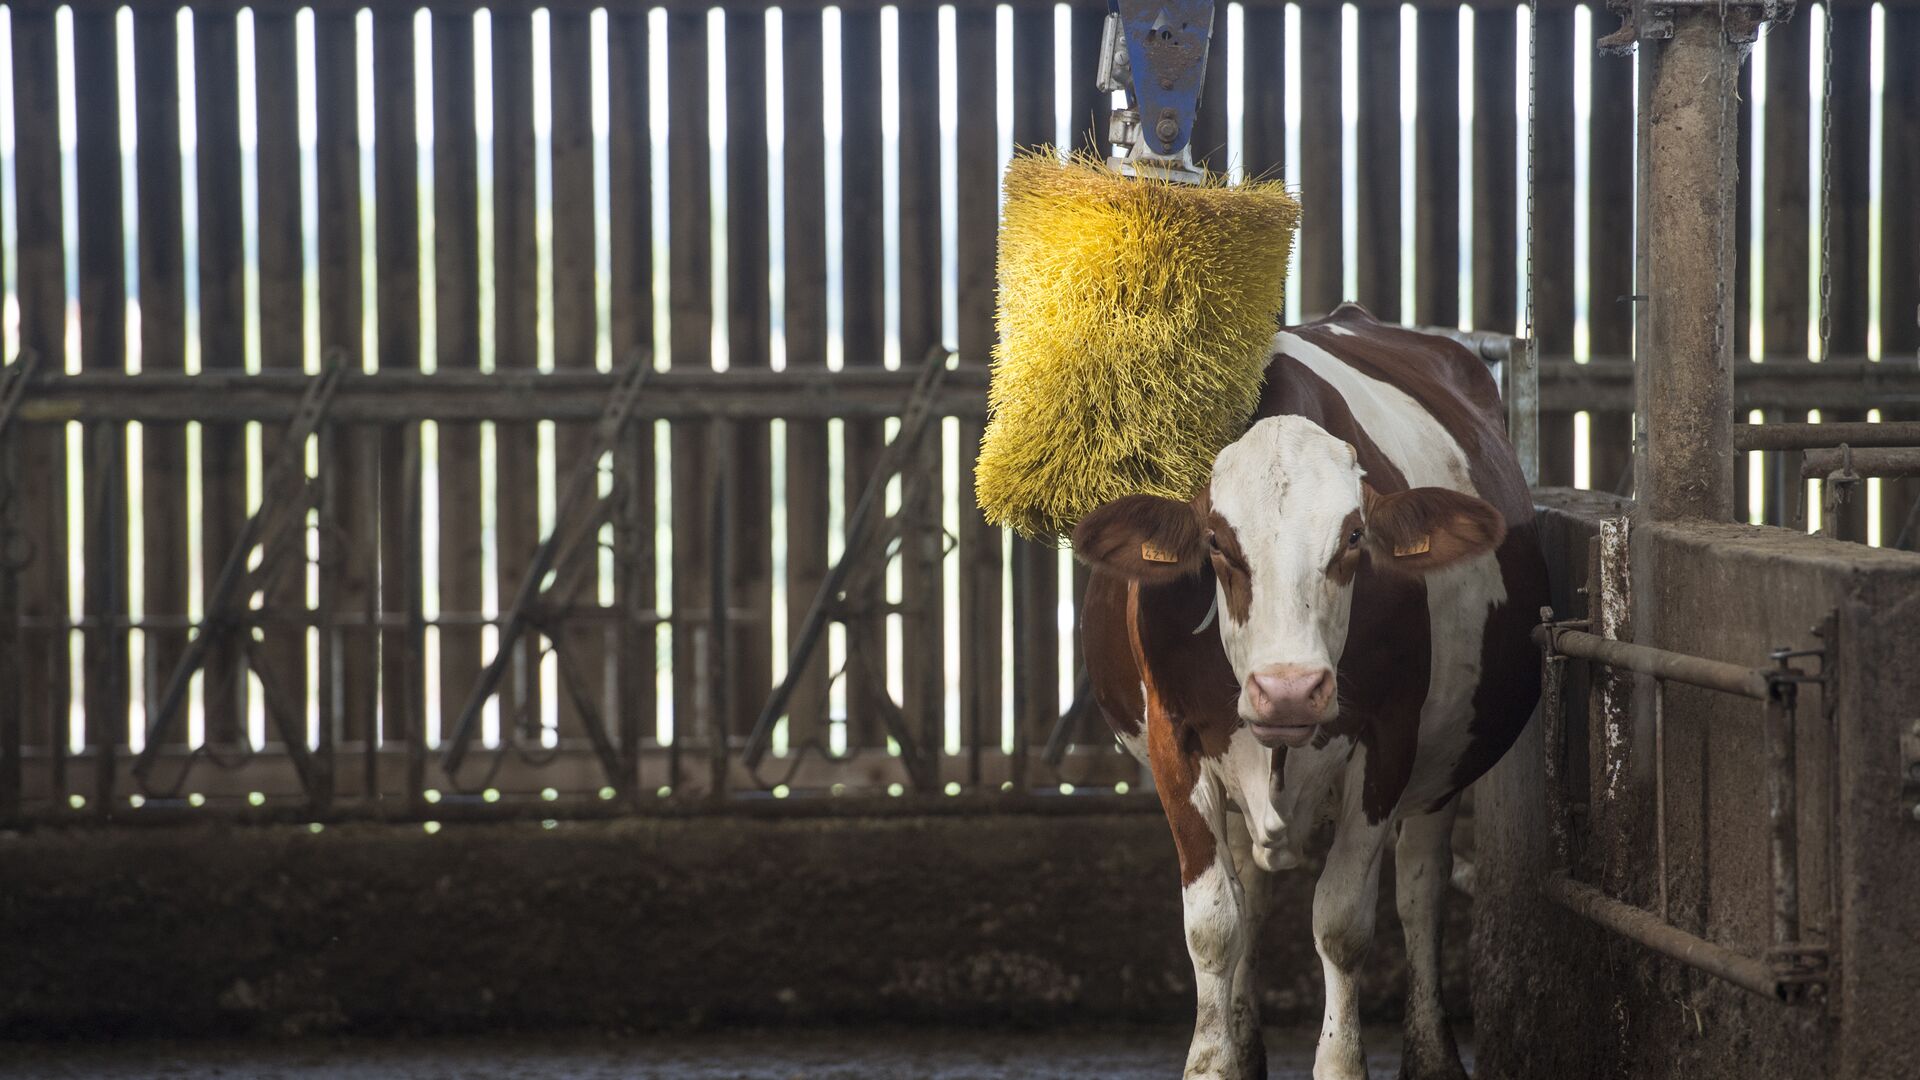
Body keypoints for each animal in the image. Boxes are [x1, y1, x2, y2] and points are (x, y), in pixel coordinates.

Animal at [1075, 305, 1551, 1076]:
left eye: (1354, 536)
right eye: (1217, 543)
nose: (1288, 691)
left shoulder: (1388, 741)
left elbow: (1343, 923)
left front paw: (1340, 1060)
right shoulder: (1174, 740)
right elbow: (1214, 923)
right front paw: (1215, 1059)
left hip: (1441, 774)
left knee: (1421, 889)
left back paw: (1432, 1053)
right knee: (1253, 893)